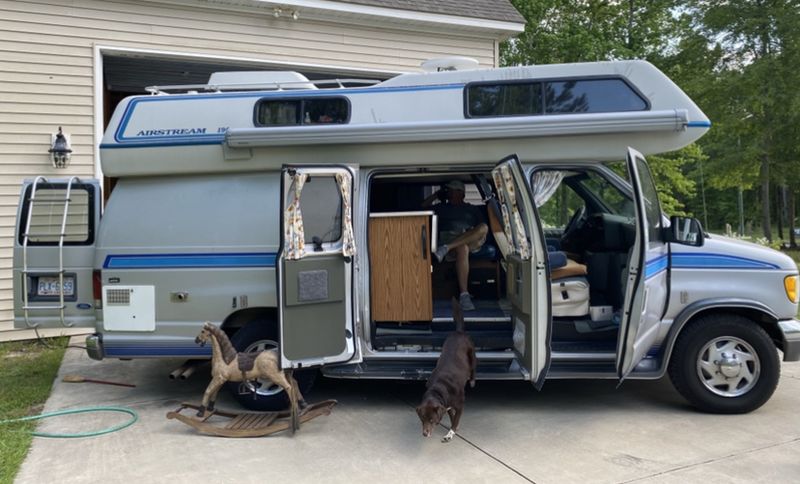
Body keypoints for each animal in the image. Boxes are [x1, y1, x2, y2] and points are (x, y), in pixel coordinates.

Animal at [418, 296, 476, 440]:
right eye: (422, 419)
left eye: (431, 420)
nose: (425, 434)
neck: (439, 388)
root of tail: (459, 332)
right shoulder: (446, 405)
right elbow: (451, 415)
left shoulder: (460, 405)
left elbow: (456, 419)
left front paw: (450, 433)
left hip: (472, 354)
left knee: (474, 368)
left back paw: (472, 380)